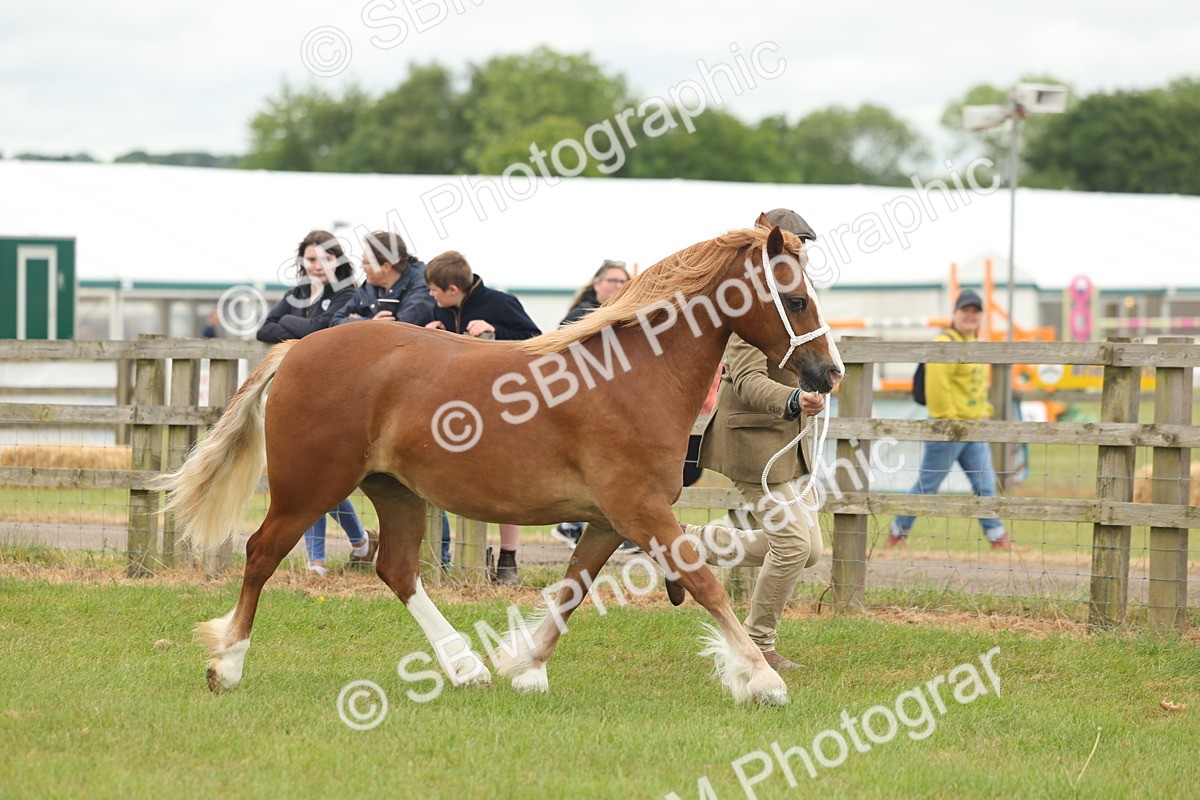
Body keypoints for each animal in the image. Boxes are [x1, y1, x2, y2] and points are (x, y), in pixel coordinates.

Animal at [155, 217, 843, 706]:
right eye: (795, 299)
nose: (828, 374)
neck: (631, 376)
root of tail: (299, 349)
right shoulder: (640, 510)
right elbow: (702, 582)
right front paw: (762, 680)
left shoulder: (608, 519)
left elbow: (572, 589)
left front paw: (525, 667)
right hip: (310, 487)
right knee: (261, 554)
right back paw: (227, 665)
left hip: (394, 491)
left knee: (397, 570)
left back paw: (465, 668)